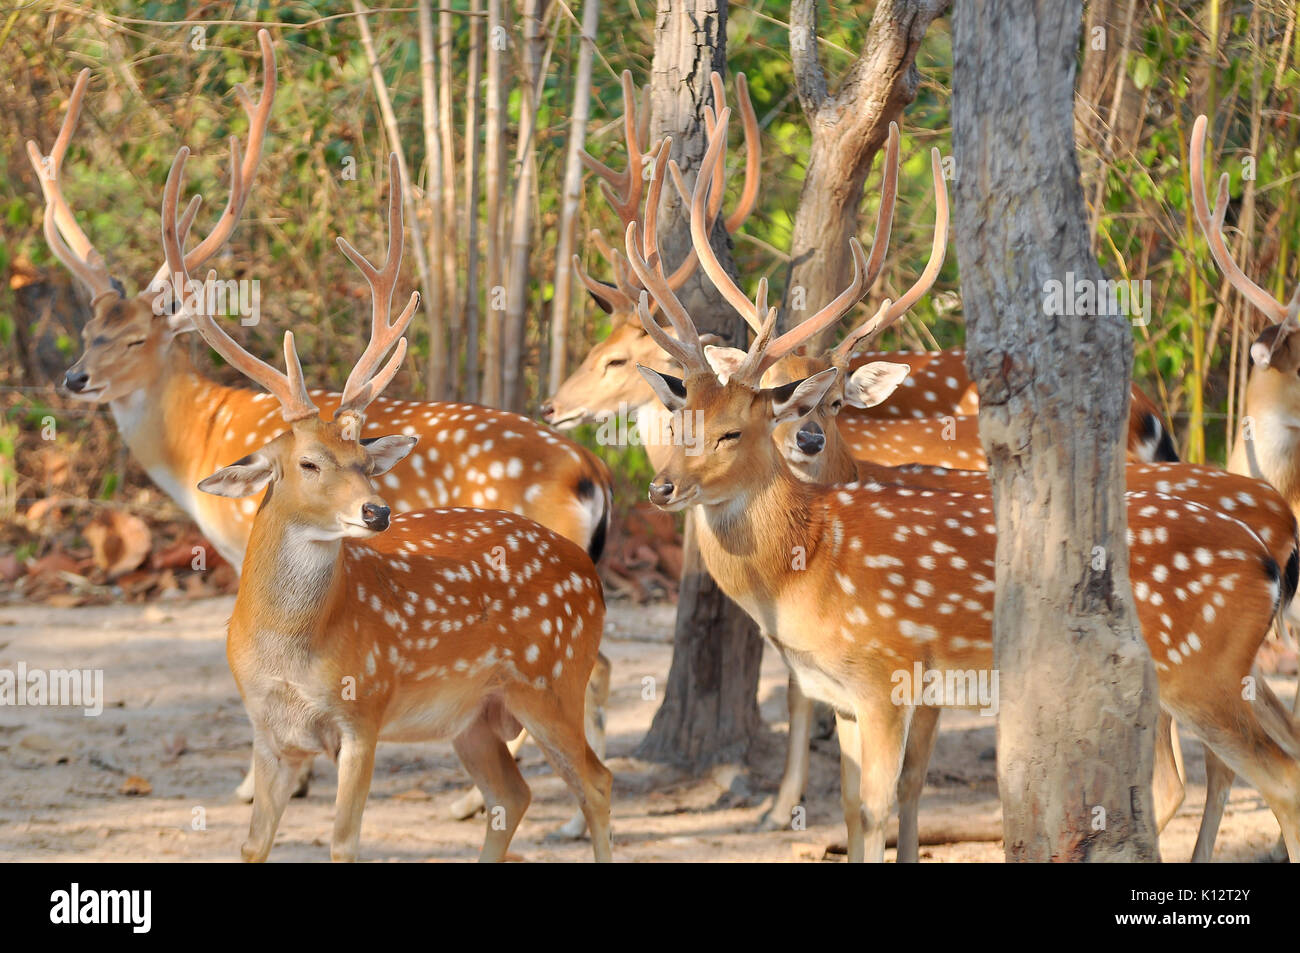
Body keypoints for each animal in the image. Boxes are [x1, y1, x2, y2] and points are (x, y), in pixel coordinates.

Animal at [159, 146, 612, 862]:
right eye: (308, 463)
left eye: (368, 462)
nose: (377, 513)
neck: (290, 654)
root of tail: (588, 577)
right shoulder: (268, 730)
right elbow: (254, 845)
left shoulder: (363, 712)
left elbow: (344, 841)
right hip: (474, 715)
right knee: (512, 794)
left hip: (551, 679)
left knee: (595, 782)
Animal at [627, 105, 1300, 862]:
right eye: (681, 415)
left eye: (735, 431)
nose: (662, 490)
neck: (810, 568)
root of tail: (1270, 555)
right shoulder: (843, 692)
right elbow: (853, 810)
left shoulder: (888, 670)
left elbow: (881, 805)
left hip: (1199, 668)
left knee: (1272, 778)